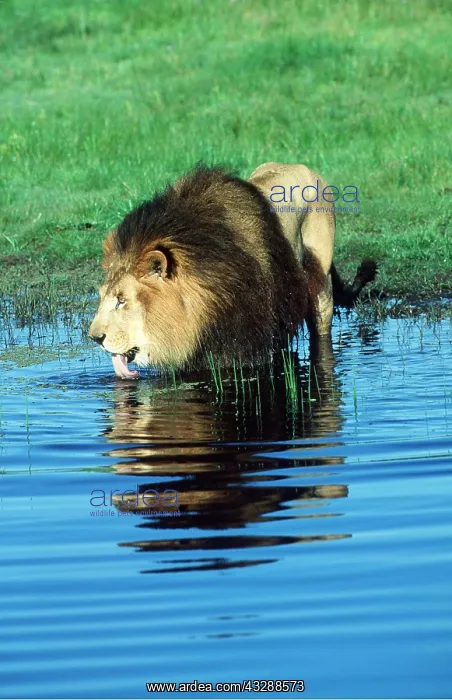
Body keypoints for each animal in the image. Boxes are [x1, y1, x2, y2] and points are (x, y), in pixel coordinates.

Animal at [89, 163, 376, 378]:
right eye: (102, 296)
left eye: (122, 300)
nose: (95, 338)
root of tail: (304, 168)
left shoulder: (245, 348)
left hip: (320, 281)